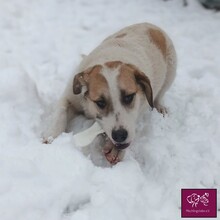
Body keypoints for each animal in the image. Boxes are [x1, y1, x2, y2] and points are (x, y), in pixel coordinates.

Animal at [42, 22, 177, 163]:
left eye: (129, 97)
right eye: (100, 102)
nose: (120, 135)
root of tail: (150, 24)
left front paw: (115, 149)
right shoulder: (71, 95)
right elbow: (61, 111)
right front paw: (51, 136)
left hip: (171, 70)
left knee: (159, 95)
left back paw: (160, 107)